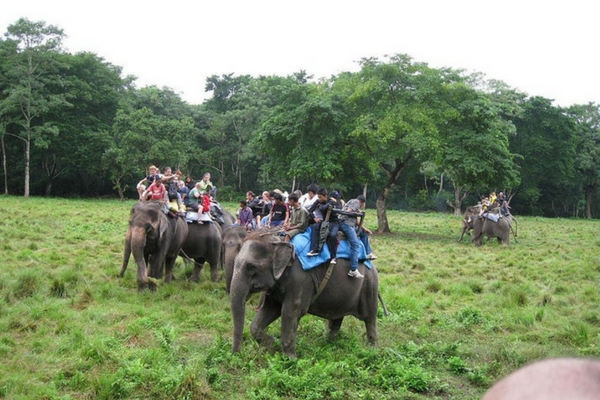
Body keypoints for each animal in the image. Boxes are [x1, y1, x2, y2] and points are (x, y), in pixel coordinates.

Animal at [231, 231, 380, 360]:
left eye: (251, 267)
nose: (237, 354)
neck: (279, 241)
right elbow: (270, 310)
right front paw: (272, 342)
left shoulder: (300, 279)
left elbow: (290, 312)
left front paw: (290, 359)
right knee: (336, 318)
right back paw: (326, 343)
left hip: (369, 286)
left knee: (369, 319)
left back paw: (372, 350)